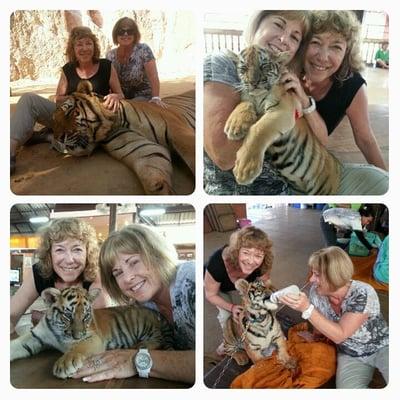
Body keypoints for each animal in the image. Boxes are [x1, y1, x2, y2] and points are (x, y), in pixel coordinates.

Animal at [10, 286, 173, 380]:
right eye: (68, 315)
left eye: (86, 316)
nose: (78, 336)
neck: (59, 332)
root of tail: (157, 314)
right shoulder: (35, 336)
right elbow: (15, 345)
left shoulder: (92, 338)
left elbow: (77, 348)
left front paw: (65, 363)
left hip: (143, 323)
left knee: (158, 340)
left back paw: (138, 345)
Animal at [51, 80, 195, 195]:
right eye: (54, 120)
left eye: (70, 112)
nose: (57, 138)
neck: (115, 123)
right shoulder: (145, 151)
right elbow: (154, 179)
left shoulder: (179, 132)